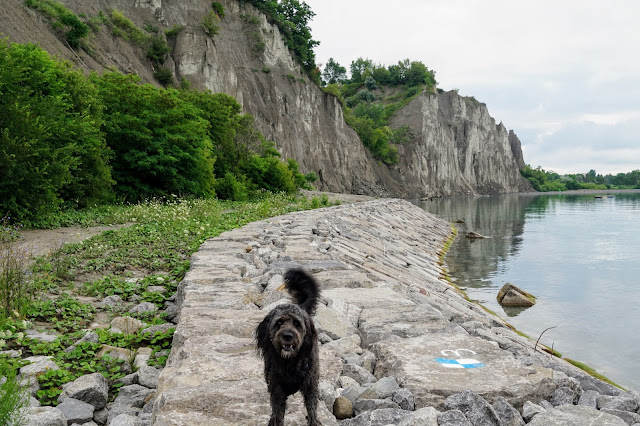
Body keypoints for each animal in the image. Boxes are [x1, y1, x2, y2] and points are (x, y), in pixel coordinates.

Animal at [256, 270, 322, 426]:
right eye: (279, 322)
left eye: (297, 323)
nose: (287, 335)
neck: (290, 362)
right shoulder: (276, 389)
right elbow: (278, 413)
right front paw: (275, 420)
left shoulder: (310, 385)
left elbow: (311, 409)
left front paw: (314, 421)